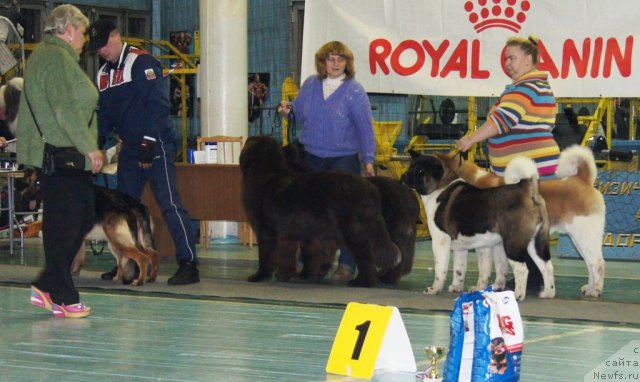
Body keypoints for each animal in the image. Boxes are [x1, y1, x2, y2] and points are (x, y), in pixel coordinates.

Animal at [240, 136, 400, 288]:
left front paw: (260, 276)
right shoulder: (303, 233)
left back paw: (362, 282)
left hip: (354, 232)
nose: (292, 145)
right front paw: (301, 275)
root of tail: (371, 189)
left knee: (365, 258)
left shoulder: (266, 232)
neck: (266, 172)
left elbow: (265, 256)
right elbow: (305, 254)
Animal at [402, 151, 552, 300]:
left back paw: (518, 295)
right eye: (410, 166)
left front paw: (434, 289)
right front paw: (457, 287)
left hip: (512, 244)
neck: (440, 188)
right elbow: (459, 269)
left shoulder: (440, 242)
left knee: (522, 269)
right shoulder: (461, 248)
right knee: (546, 266)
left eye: (420, 171)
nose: (403, 176)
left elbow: (440, 269)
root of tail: (525, 188)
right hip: (536, 243)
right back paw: (548, 293)